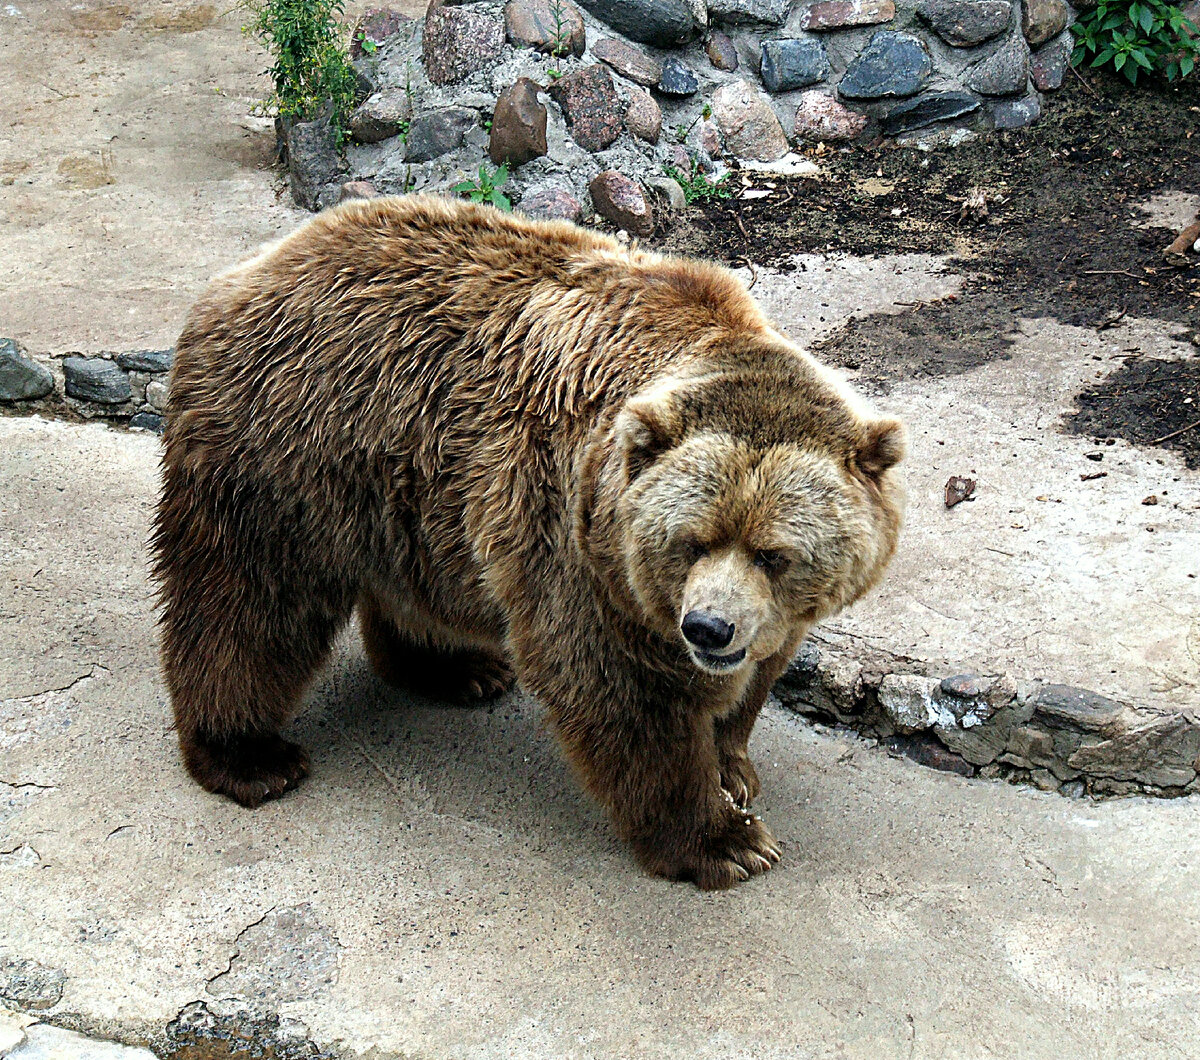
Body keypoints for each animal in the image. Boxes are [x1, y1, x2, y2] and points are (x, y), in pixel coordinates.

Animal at [152, 194, 902, 893]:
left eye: (773, 553)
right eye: (691, 541)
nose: (709, 628)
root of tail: (259, 264)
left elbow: (758, 673)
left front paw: (733, 765)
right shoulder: (578, 539)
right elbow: (616, 688)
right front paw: (724, 840)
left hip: (413, 490)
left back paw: (456, 667)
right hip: (290, 444)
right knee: (249, 601)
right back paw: (248, 755)